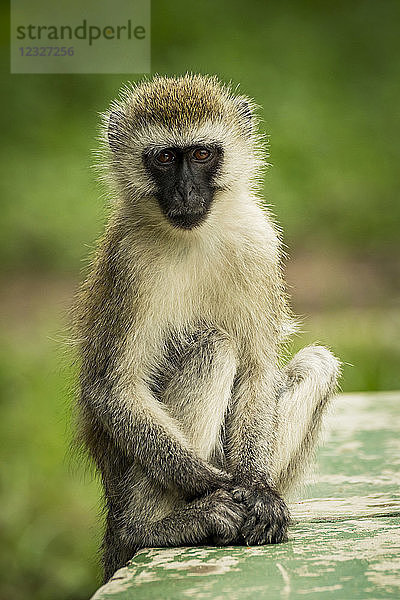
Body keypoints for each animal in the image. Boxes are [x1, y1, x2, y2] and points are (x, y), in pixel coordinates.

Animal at [73, 75, 340, 580]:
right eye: (163, 158)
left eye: (200, 154)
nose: (184, 193)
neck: (194, 235)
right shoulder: (130, 262)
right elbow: (114, 388)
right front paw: (214, 483)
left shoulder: (258, 242)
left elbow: (258, 370)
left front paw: (255, 486)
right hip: (127, 482)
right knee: (212, 346)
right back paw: (155, 528)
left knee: (317, 363)